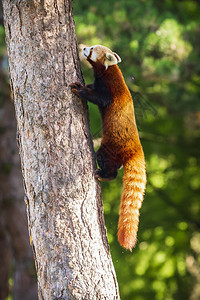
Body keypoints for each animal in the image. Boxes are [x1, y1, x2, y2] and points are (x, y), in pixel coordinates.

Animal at [70, 44, 145, 251]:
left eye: (91, 49)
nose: (82, 47)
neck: (109, 71)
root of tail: (136, 149)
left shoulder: (109, 90)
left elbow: (99, 98)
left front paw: (79, 89)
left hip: (111, 147)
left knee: (107, 163)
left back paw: (104, 175)